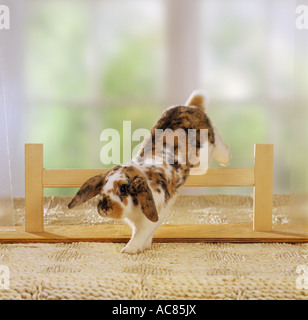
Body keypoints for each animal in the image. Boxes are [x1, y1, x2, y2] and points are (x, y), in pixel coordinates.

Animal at [68, 90, 231, 255]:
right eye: (102, 187)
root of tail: (191, 107)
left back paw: (225, 158)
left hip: (206, 151)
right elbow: (144, 234)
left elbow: (139, 235)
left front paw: (129, 250)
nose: (103, 208)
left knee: (217, 141)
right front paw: (145, 246)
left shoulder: (147, 222)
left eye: (123, 188)